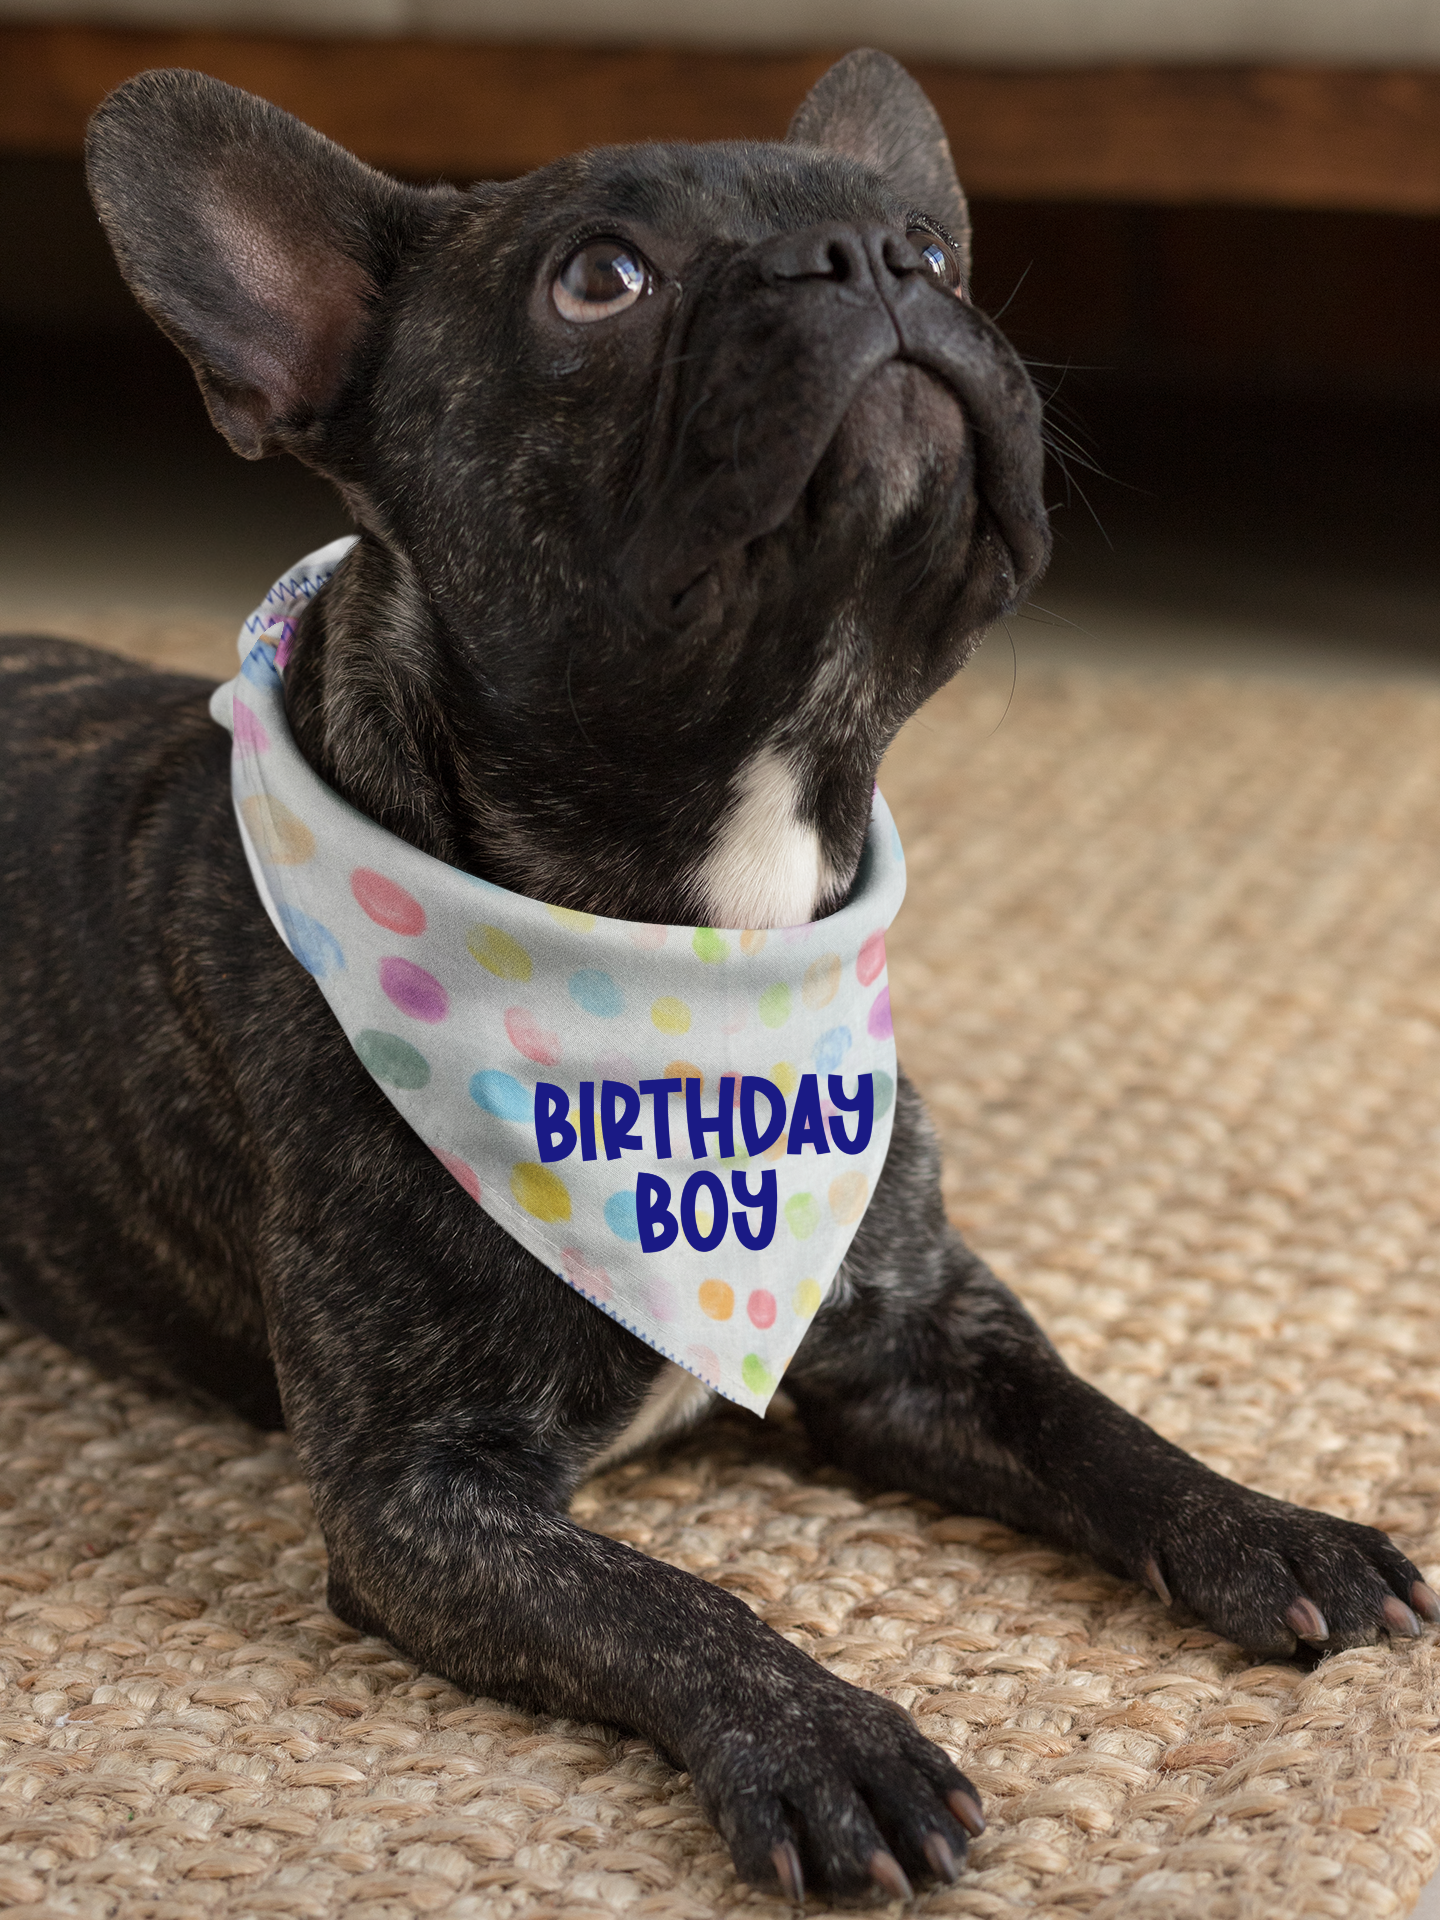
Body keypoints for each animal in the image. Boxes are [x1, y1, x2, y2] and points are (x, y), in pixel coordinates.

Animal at [0, 48, 1436, 1904]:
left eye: (932, 247)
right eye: (600, 279)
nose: (874, 260)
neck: (703, 930)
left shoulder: (922, 1332)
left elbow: (1095, 1423)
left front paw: (1272, 1524)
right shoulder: (423, 1501)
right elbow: (665, 1602)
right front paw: (826, 1742)